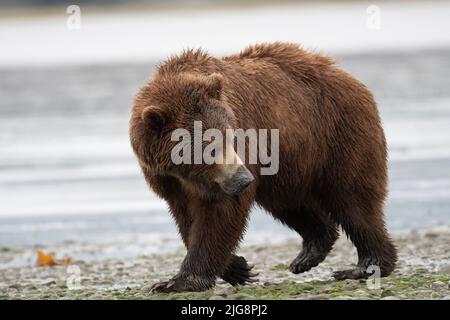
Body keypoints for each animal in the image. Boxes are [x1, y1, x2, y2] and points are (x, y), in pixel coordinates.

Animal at [129, 42, 398, 292]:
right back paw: (309, 253)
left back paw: (365, 266)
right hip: (287, 165)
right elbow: (187, 218)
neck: (188, 173)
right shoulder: (167, 179)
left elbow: (220, 213)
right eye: (210, 148)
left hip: (338, 135)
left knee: (353, 200)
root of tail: (346, 75)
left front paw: (179, 281)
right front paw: (238, 267)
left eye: (231, 138)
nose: (243, 179)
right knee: (290, 203)